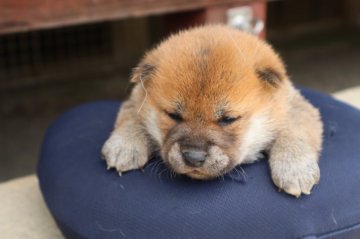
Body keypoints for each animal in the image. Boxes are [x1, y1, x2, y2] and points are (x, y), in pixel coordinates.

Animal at [101, 24, 324, 198]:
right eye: (173, 115)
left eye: (228, 119)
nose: (193, 157)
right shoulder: (137, 96)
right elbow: (131, 116)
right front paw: (125, 146)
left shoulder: (296, 107)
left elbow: (294, 132)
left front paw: (294, 169)